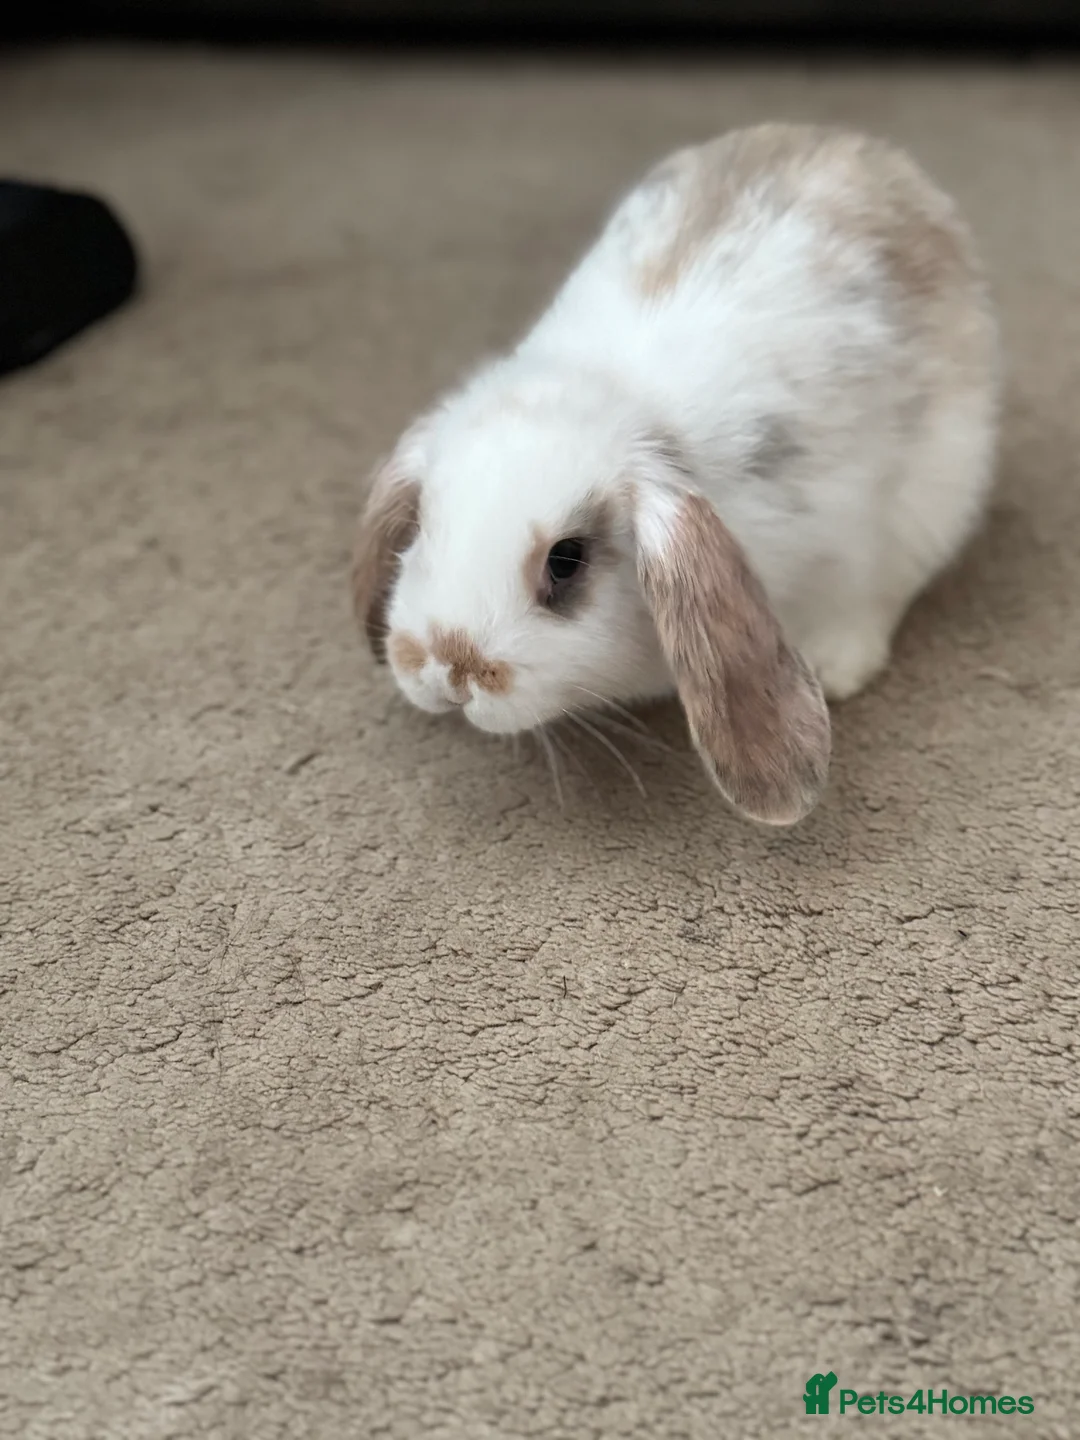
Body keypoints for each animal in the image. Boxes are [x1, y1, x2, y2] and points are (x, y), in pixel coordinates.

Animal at [351, 123, 1000, 825]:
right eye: (422, 526)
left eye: (567, 560)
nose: (447, 667)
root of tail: (867, 151)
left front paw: (836, 667)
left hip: (939, 488)